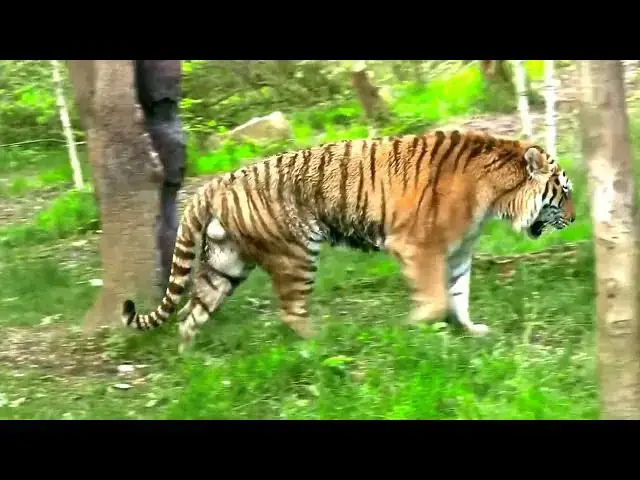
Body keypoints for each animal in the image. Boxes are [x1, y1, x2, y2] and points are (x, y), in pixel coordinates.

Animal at [121, 129, 576, 353]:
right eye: (564, 192)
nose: (575, 220)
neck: (497, 197)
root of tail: (214, 184)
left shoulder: (458, 253)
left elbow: (459, 296)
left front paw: (472, 331)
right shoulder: (419, 247)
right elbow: (436, 300)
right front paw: (413, 328)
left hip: (225, 265)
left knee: (190, 314)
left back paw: (195, 366)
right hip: (297, 253)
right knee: (290, 312)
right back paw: (322, 344)